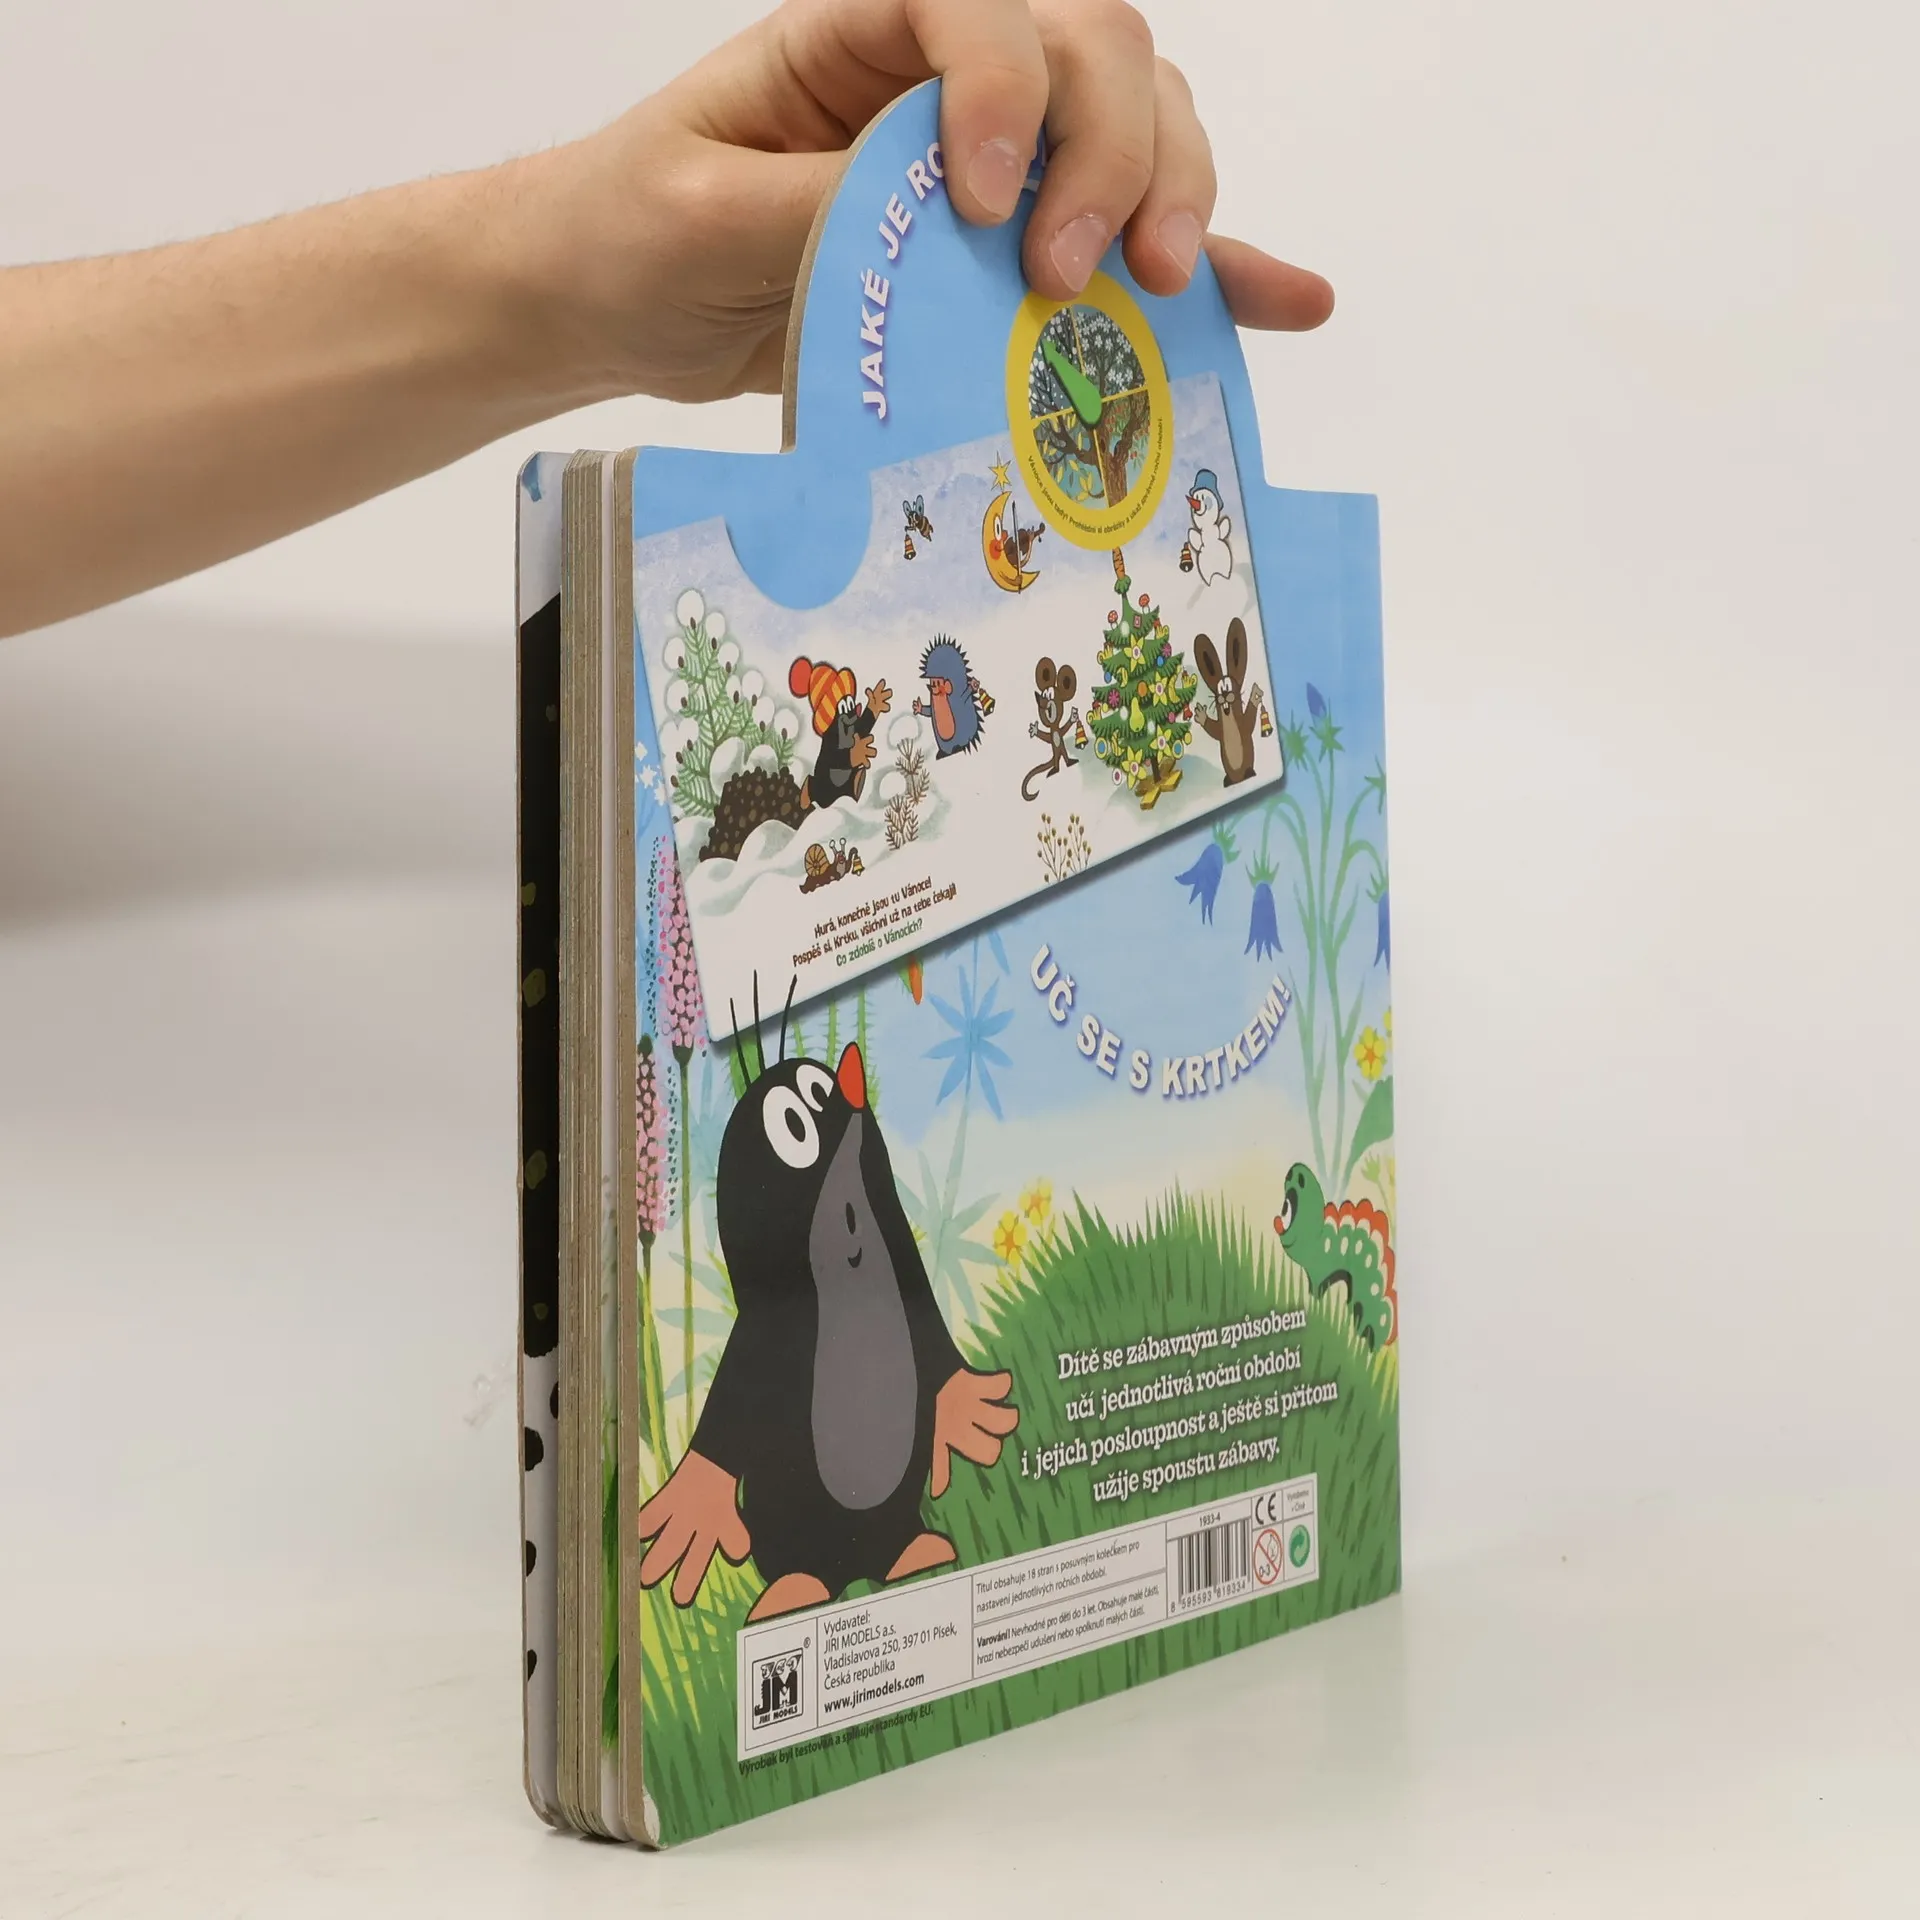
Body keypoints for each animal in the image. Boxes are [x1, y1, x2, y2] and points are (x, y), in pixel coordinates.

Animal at [1192, 617, 1268, 788]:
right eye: (1220, 697)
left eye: (1231, 695)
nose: (1226, 696)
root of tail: (1238, 779)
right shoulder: (1220, 730)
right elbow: (1213, 729)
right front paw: (1201, 715)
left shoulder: (1244, 726)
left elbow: (1249, 722)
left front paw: (1255, 696)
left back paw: (1248, 773)